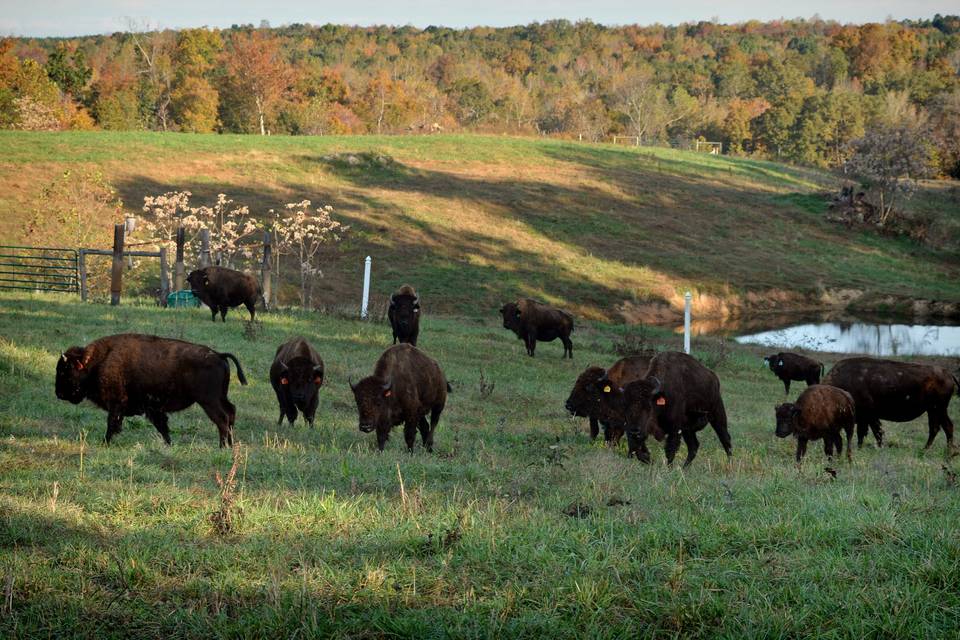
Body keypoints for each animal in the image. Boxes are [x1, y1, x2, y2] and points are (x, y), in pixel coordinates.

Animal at [53, 332, 248, 448]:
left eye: (64, 370)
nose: (59, 394)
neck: (96, 362)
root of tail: (219, 355)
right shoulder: (153, 409)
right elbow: (162, 427)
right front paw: (169, 445)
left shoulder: (117, 403)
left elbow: (112, 424)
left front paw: (105, 442)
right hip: (220, 397)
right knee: (231, 412)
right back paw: (230, 446)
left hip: (209, 401)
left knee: (222, 419)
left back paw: (222, 446)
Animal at [596, 350, 732, 464]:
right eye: (626, 407)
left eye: (648, 407)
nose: (608, 442)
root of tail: (713, 377)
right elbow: (637, 447)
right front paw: (648, 460)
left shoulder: (675, 429)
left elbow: (670, 450)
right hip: (689, 428)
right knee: (694, 446)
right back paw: (684, 468)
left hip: (717, 414)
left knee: (725, 439)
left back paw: (729, 465)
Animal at [816, 358, 960, 452]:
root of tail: (948, 374)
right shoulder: (866, 418)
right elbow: (865, 433)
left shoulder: (869, 416)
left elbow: (873, 432)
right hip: (933, 410)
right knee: (937, 427)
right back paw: (929, 449)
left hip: (939, 408)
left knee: (945, 426)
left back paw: (941, 451)